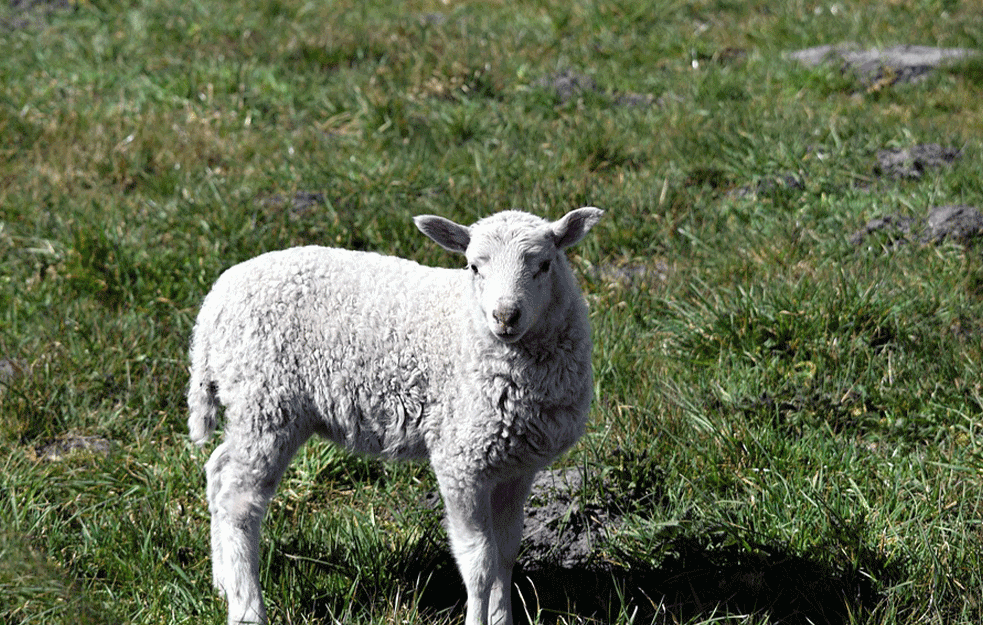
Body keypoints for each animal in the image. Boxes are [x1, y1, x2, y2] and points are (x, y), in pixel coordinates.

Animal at [187, 208, 604, 624]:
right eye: (473, 267)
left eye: (545, 265)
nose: (505, 316)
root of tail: (214, 304)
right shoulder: (461, 460)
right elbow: (479, 562)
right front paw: (477, 617)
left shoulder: (517, 465)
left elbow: (505, 554)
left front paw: (502, 619)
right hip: (266, 399)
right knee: (239, 502)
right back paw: (247, 608)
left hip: (256, 405)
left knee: (218, 470)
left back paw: (222, 581)